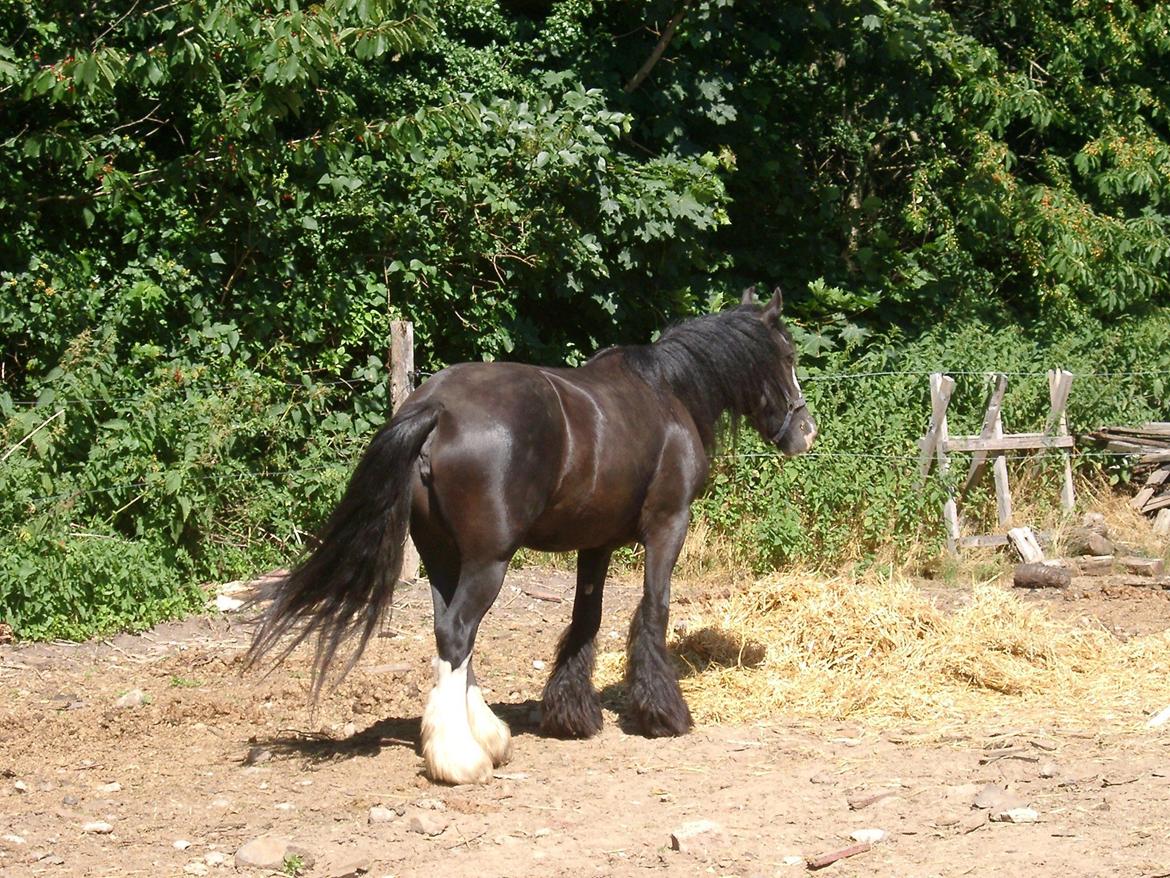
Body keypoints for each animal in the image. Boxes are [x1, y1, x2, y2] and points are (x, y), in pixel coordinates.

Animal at [249, 286, 814, 782]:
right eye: (786, 354)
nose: (805, 431)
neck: (667, 394)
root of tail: (437, 408)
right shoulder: (667, 526)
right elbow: (653, 610)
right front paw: (664, 715)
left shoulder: (595, 543)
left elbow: (586, 618)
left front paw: (572, 716)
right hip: (488, 562)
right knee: (459, 631)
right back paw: (460, 760)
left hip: (442, 558)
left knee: (449, 632)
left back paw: (486, 737)